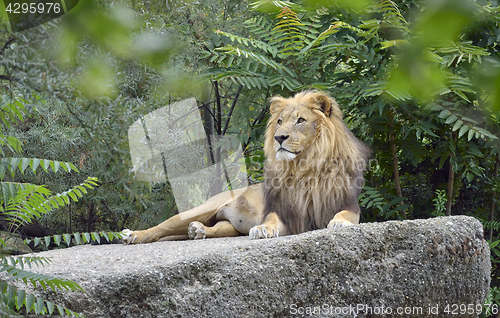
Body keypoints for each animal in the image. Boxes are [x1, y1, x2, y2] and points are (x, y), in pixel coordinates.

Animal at [123, 90, 370, 245]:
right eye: (280, 122)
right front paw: (262, 229)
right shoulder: (284, 213)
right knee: (163, 228)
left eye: (300, 120)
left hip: (228, 225)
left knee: (209, 229)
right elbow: (270, 220)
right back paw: (133, 235)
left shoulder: (348, 204)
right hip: (201, 209)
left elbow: (345, 214)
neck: (305, 167)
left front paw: (339, 223)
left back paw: (198, 231)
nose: (279, 137)